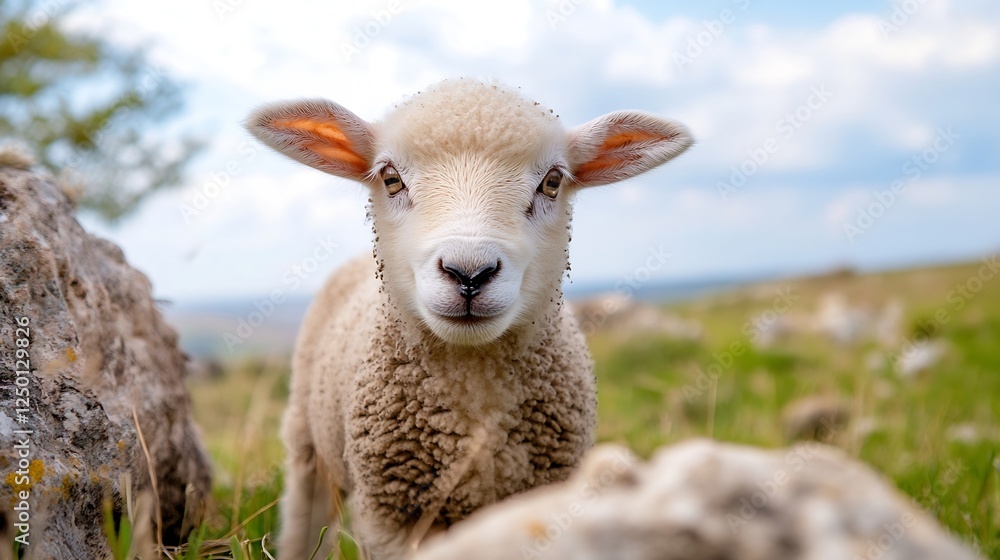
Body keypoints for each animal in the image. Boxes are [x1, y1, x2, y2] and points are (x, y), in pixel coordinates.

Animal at [245, 78, 693, 559]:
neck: (476, 387)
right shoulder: (391, 517)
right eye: (390, 178)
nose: (469, 272)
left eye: (552, 182)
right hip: (306, 438)